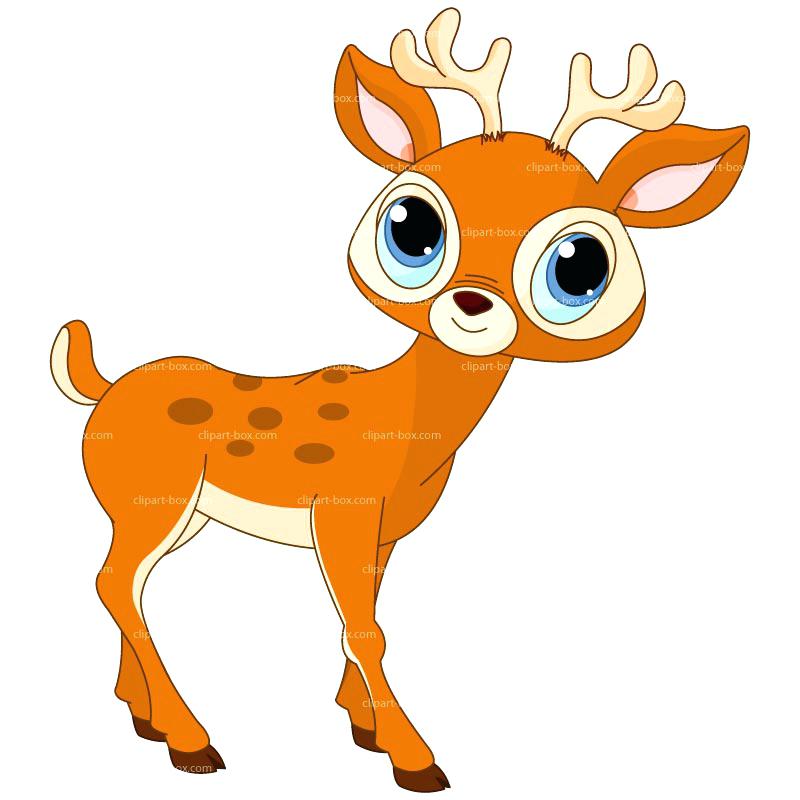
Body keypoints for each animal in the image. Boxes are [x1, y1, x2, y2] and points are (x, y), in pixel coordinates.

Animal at [51, 8, 748, 792]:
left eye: (580, 267)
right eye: (413, 226)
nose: (471, 302)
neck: (408, 430)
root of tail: (103, 388)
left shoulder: (384, 531)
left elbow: (365, 621)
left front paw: (364, 728)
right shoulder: (343, 512)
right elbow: (366, 630)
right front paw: (416, 759)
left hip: (173, 513)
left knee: (127, 584)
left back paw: (143, 717)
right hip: (152, 499)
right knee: (115, 582)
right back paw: (190, 740)